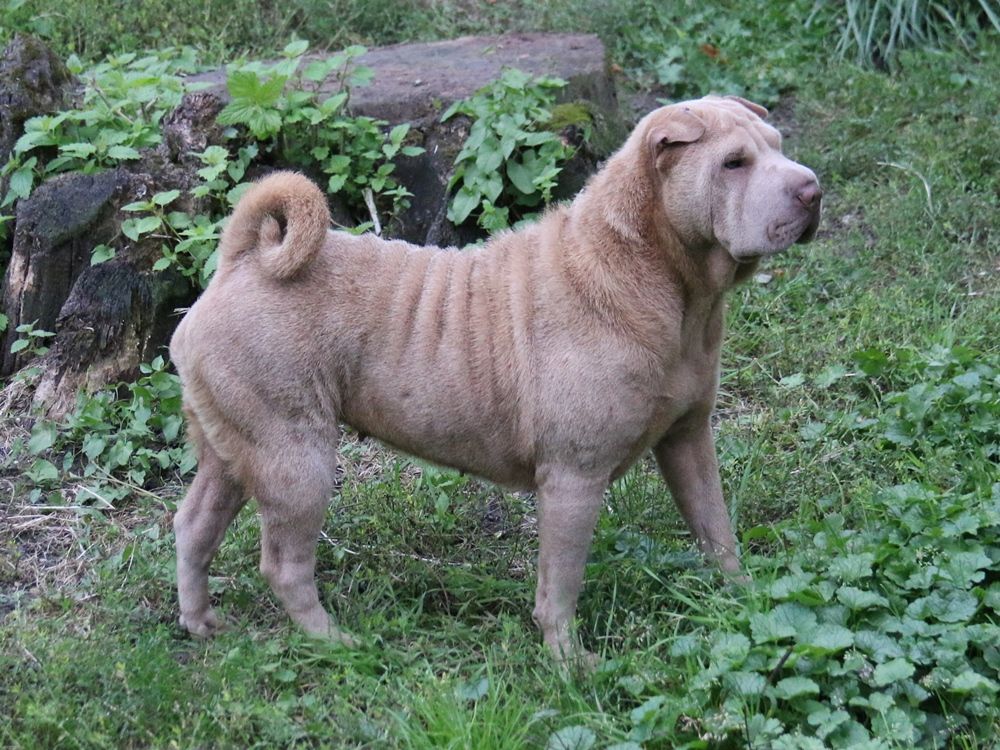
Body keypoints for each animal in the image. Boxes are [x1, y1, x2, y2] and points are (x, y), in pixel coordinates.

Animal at [170, 94, 820, 664]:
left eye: (778, 146)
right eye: (733, 163)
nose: (811, 188)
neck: (663, 279)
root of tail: (240, 262)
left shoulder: (688, 439)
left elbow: (715, 526)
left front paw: (746, 599)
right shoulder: (574, 477)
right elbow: (560, 583)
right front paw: (570, 663)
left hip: (233, 446)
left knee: (195, 524)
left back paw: (203, 624)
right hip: (295, 455)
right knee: (283, 562)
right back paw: (337, 642)